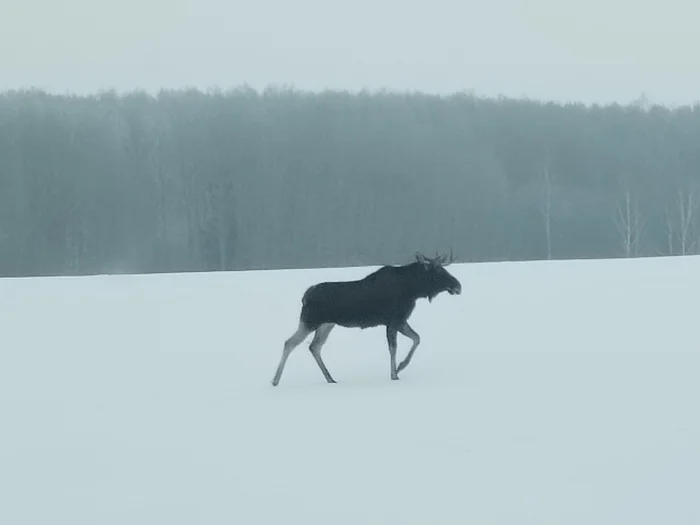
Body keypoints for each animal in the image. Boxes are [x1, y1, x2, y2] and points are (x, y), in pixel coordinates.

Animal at [271, 251, 461, 386]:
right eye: (439, 270)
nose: (458, 286)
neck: (413, 290)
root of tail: (304, 297)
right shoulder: (394, 320)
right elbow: (394, 347)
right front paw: (395, 373)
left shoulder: (399, 321)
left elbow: (417, 338)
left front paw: (400, 366)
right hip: (310, 321)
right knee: (290, 343)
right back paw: (275, 380)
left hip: (326, 324)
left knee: (314, 346)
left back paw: (330, 378)